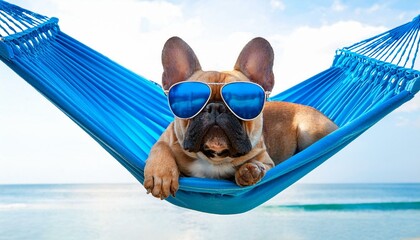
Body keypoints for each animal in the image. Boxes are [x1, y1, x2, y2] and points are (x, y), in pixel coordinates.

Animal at [143, 36, 336, 200]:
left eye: (242, 101)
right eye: (191, 101)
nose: (215, 107)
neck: (215, 159)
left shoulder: (266, 161)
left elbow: (258, 165)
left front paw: (249, 169)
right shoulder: (167, 137)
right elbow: (160, 147)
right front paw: (162, 174)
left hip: (308, 131)